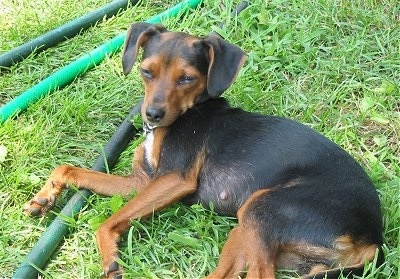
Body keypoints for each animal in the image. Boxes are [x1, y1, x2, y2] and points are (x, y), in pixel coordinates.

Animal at [23, 23, 382, 278]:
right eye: (146, 71)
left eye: (187, 79)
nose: (151, 115)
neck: (186, 113)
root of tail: (373, 239)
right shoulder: (141, 183)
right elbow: (68, 169)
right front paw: (43, 197)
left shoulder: (175, 179)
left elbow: (108, 222)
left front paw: (110, 257)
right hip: (248, 229)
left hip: (260, 208)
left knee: (261, 275)